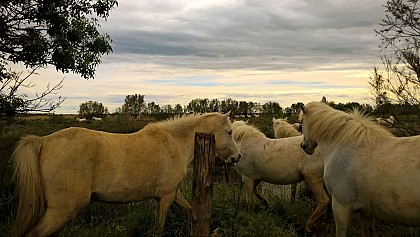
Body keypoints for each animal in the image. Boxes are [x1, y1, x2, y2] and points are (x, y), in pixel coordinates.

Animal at [11, 112, 240, 236]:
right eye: (229, 132)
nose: (237, 157)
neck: (174, 142)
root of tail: (43, 141)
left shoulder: (172, 194)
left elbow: (191, 210)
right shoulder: (166, 197)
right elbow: (159, 228)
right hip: (61, 211)